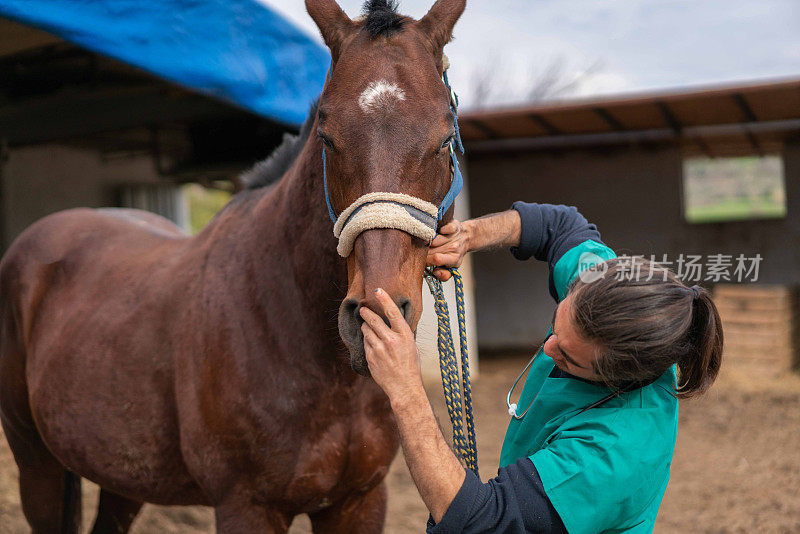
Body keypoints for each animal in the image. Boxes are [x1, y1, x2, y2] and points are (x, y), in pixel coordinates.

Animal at [0, 0, 466, 532]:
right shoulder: (247, 505)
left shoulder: (360, 501)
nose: (374, 317)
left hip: (120, 473)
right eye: (327, 137)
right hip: (36, 463)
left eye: (445, 138)